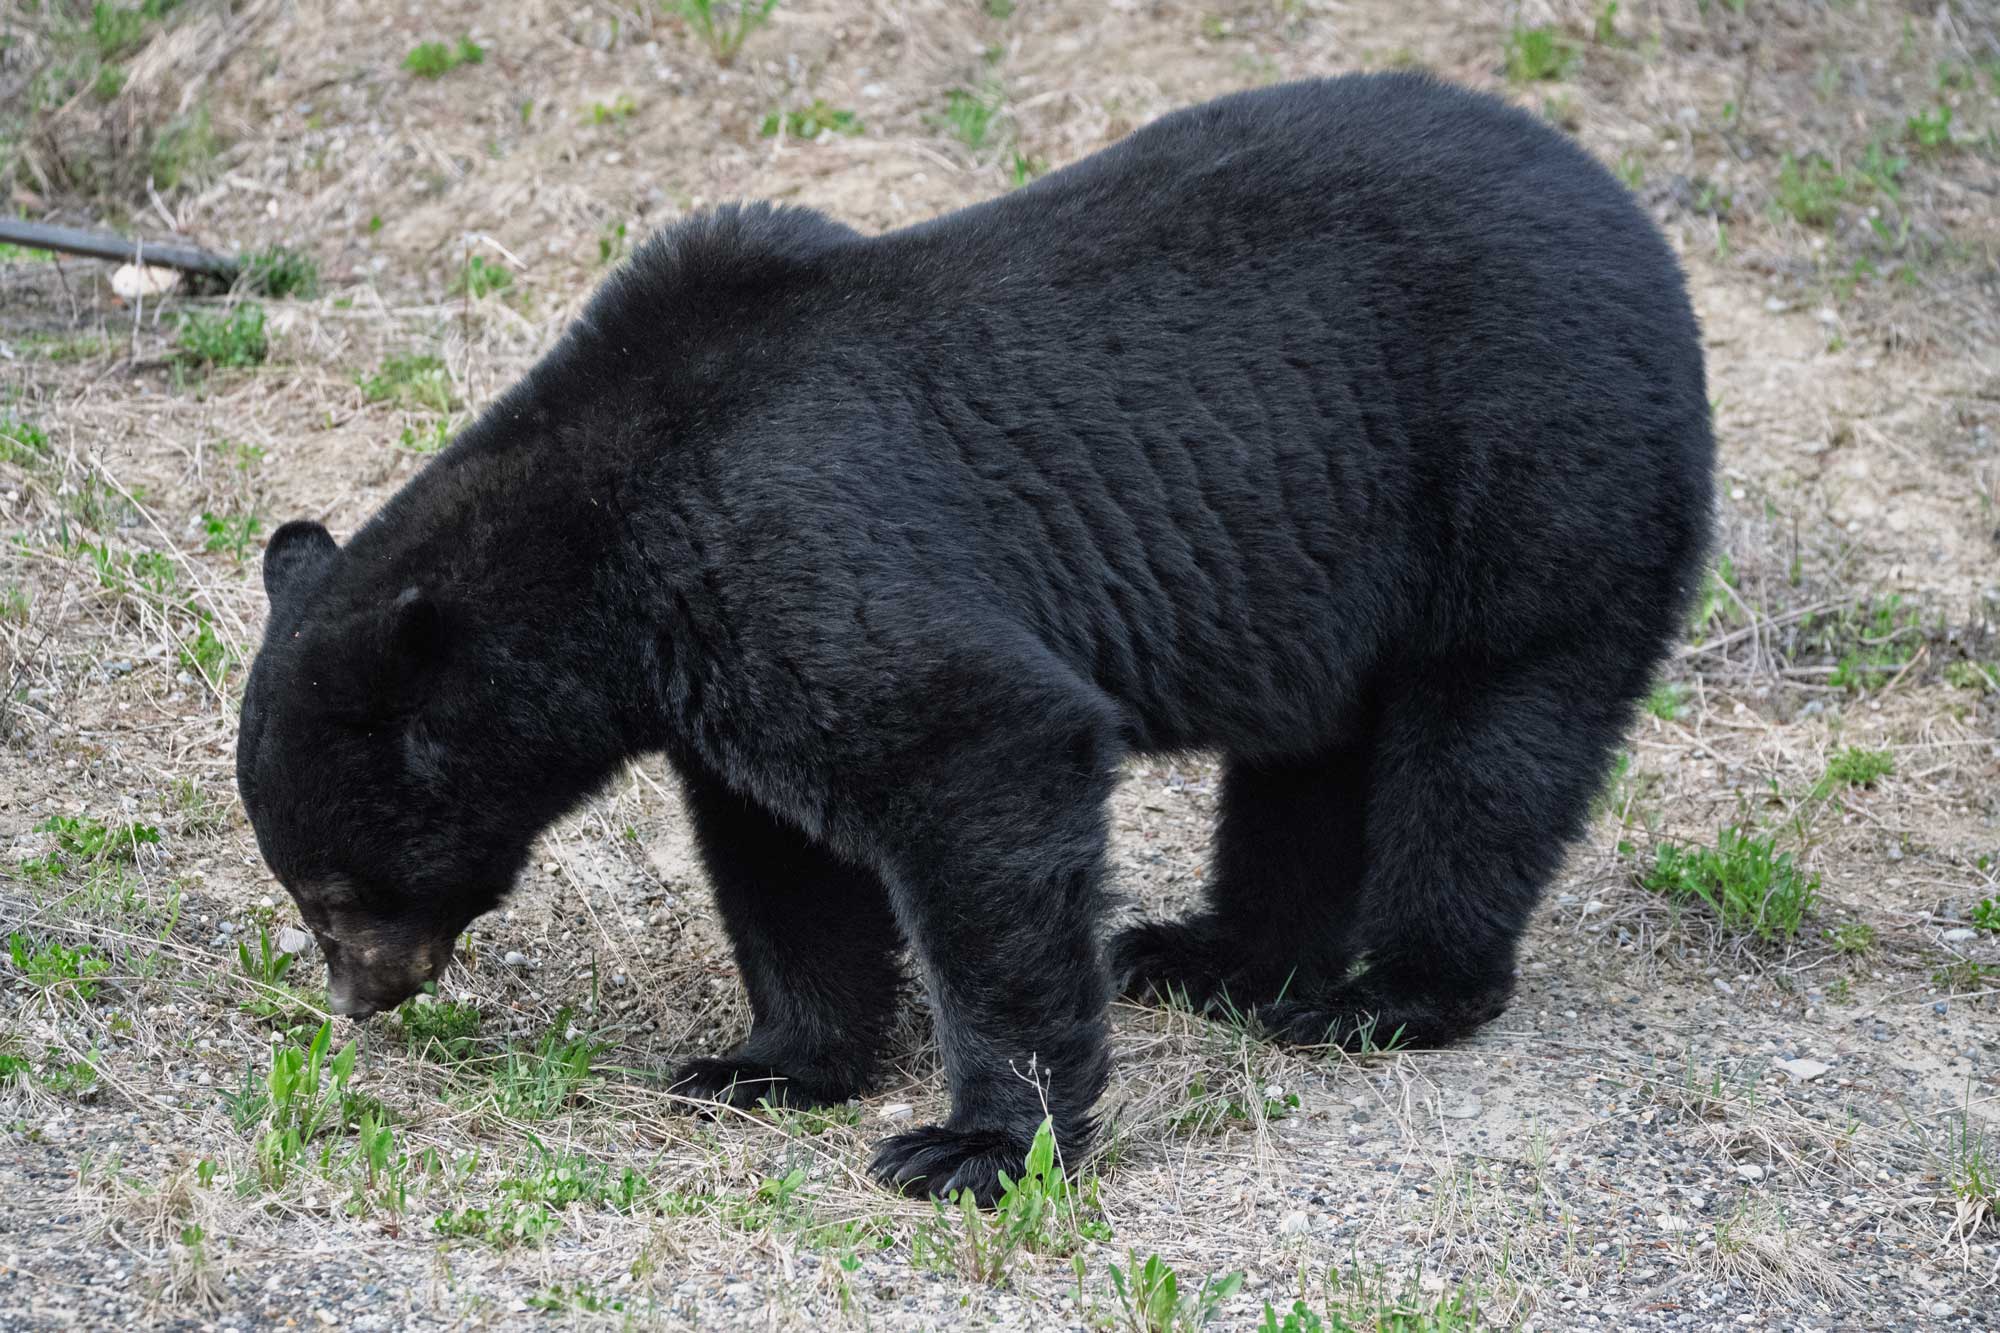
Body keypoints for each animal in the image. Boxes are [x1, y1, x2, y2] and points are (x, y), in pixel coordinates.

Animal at [236, 72, 1713, 1204]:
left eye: (336, 889)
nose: (362, 997)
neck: (605, 528)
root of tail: (1636, 225)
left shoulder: (789, 540)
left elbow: (978, 754)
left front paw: (972, 1143)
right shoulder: (714, 652)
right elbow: (781, 857)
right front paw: (761, 1062)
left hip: (1532, 469)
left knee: (1488, 742)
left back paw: (1389, 992)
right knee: (1308, 760)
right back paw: (1207, 954)